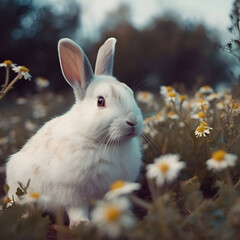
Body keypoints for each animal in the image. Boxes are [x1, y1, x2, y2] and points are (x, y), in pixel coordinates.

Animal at [5, 37, 143, 227]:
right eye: (100, 101)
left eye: (130, 92)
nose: (133, 121)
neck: (99, 140)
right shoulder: (72, 190)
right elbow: (77, 208)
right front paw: (81, 224)